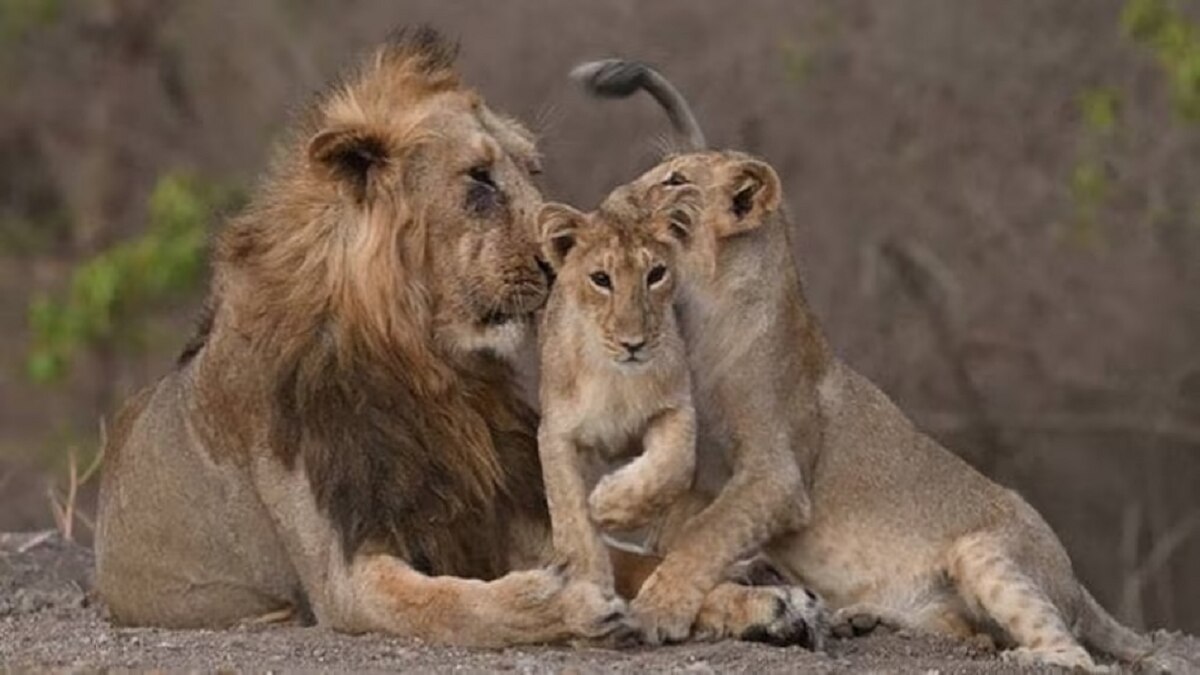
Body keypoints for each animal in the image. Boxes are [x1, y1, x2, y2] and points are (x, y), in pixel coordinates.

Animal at [92, 29, 822, 648]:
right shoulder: (344, 573)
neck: (429, 364)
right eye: (478, 179)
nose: (566, 260)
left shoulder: (501, 510)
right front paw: (565, 601)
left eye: (531, 170)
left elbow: (639, 565)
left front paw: (760, 602)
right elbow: (453, 602)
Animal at [573, 59, 1155, 670]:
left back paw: (1022, 656)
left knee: (1073, 651)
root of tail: (1075, 581)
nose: (612, 197)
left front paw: (657, 610)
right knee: (964, 629)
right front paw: (613, 504)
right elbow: (673, 508)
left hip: (985, 551)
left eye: (677, 181)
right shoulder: (694, 464)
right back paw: (858, 617)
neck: (700, 308)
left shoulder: (777, 475)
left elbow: (704, 536)